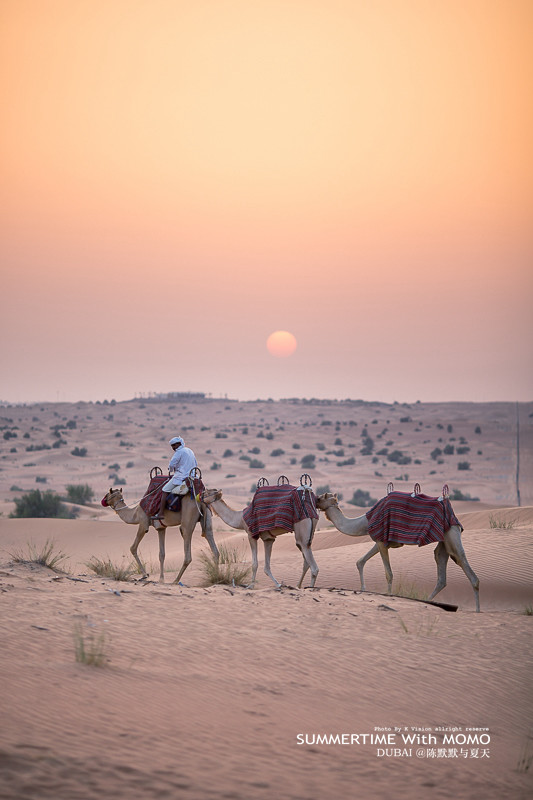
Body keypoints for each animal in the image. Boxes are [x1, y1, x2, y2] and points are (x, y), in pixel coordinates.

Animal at [314, 488, 480, 612]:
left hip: (451, 535)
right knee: (441, 572)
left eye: (321, 497)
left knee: (464, 564)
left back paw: (477, 610)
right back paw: (428, 602)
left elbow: (389, 573)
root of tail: (454, 516)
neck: (365, 521)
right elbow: (360, 561)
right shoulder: (381, 540)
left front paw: (388, 596)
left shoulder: (381, 540)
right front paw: (362, 589)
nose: (314, 499)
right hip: (444, 542)